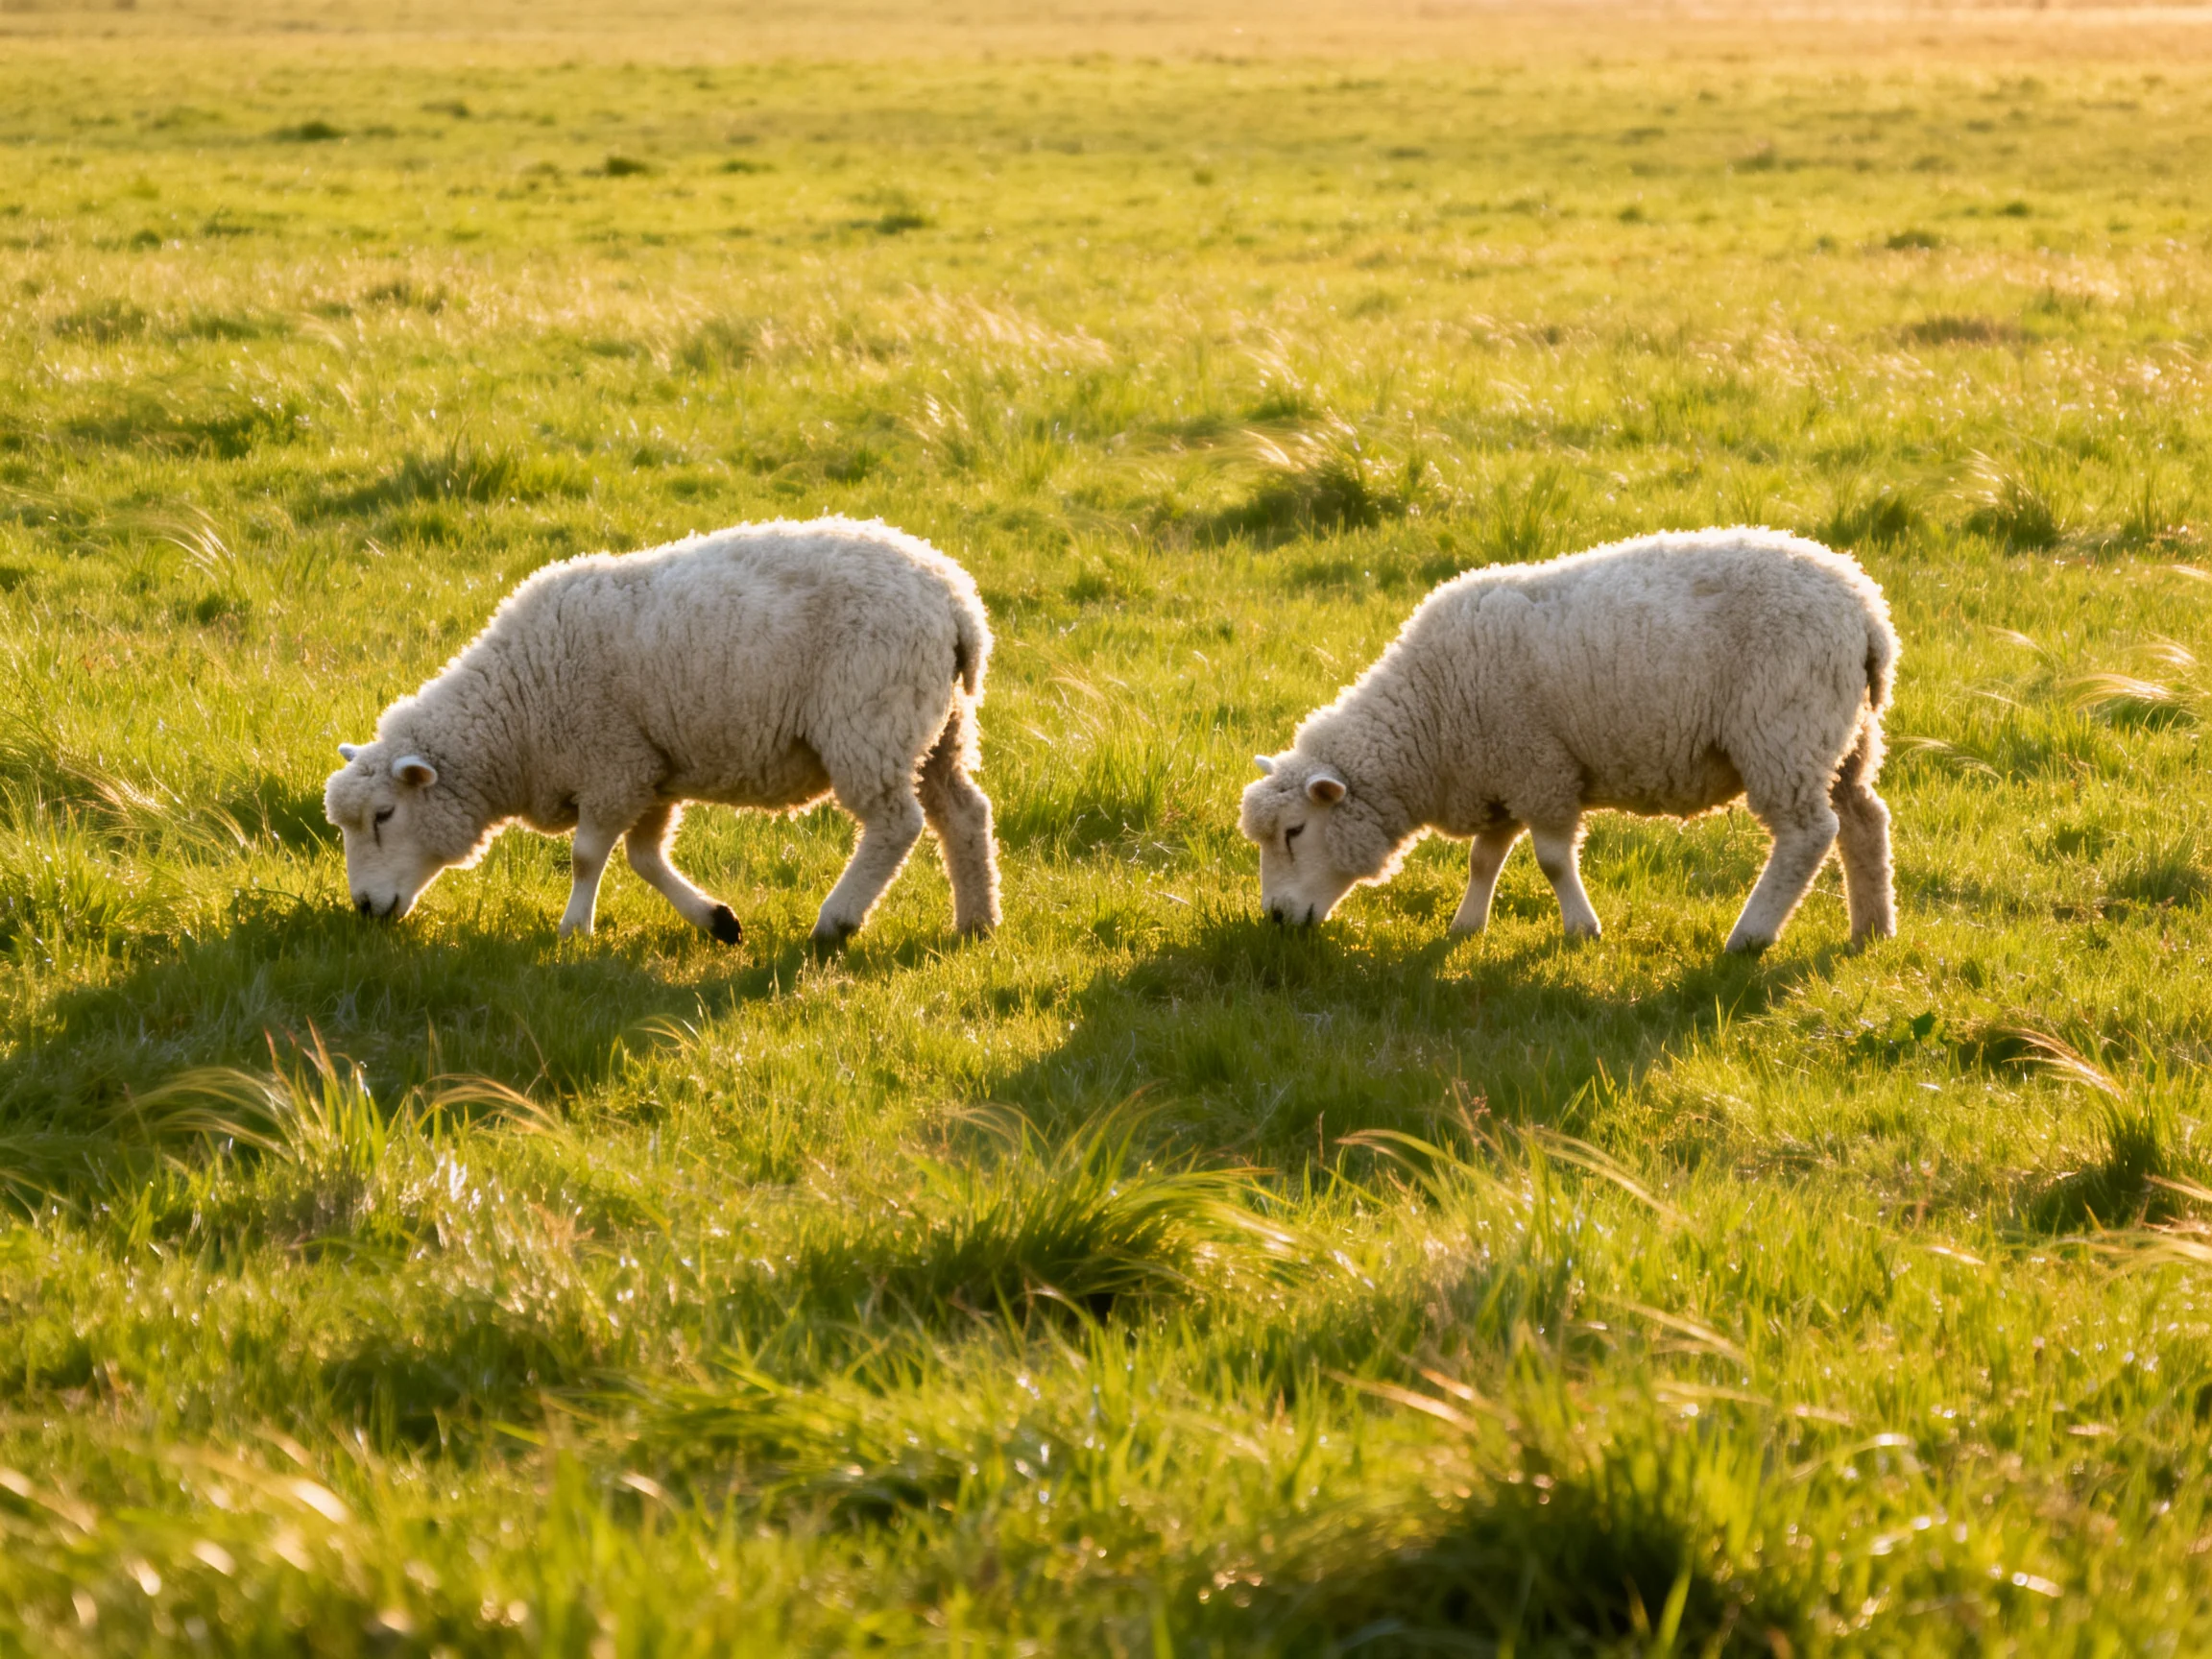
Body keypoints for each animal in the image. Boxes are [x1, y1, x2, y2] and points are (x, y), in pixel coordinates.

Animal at [323, 516, 1000, 946]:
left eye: (384, 815)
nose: (364, 909)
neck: (516, 714)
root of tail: (957, 600)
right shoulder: (652, 770)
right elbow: (645, 858)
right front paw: (717, 921)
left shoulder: (613, 765)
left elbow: (586, 856)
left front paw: (573, 930)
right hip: (938, 727)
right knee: (964, 813)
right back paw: (977, 921)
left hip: (870, 720)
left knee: (896, 825)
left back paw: (837, 922)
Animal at [1238, 527, 1897, 953]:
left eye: (1294, 831)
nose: (1275, 919)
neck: (1431, 716)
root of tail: (1866, 610)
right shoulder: (1500, 771)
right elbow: (1484, 859)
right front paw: (1466, 927)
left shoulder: (1541, 768)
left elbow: (1552, 860)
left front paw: (1582, 930)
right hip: (1844, 736)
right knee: (1864, 820)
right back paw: (1871, 930)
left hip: (1783, 728)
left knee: (1807, 835)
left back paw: (1750, 936)